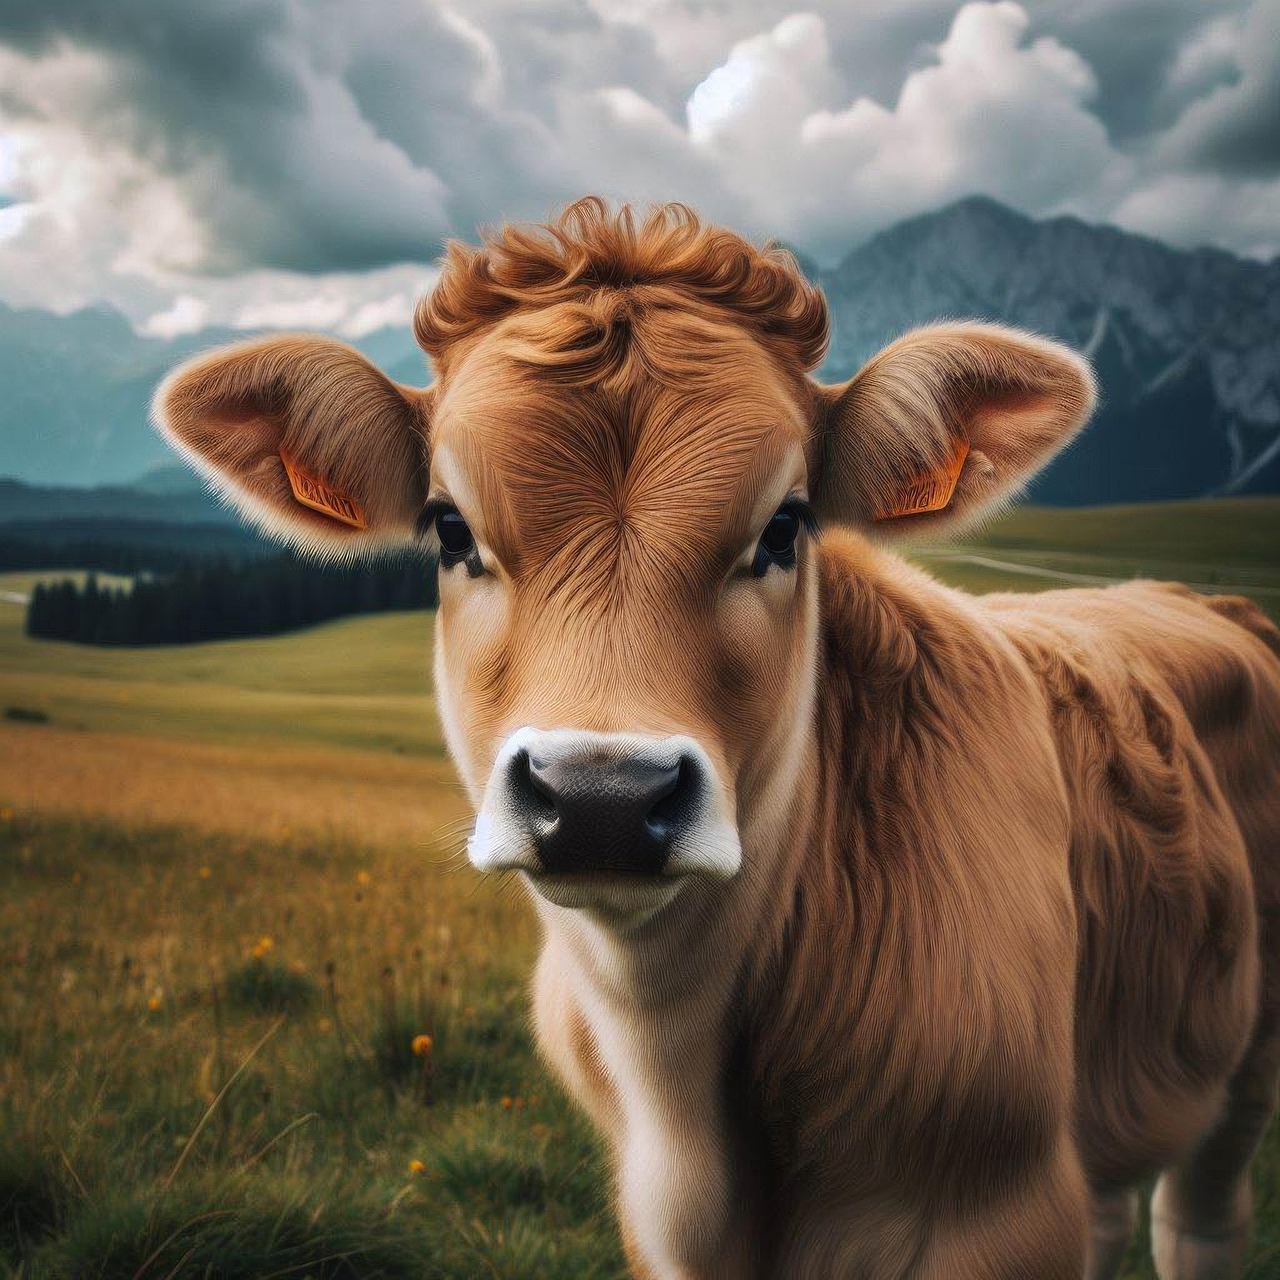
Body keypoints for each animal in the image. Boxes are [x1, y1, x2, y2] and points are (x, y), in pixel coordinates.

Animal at [154, 199, 1280, 1280]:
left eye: (784, 525)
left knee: (1199, 1215)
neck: (682, 1099)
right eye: (448, 526)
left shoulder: (995, 1213)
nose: (601, 796)